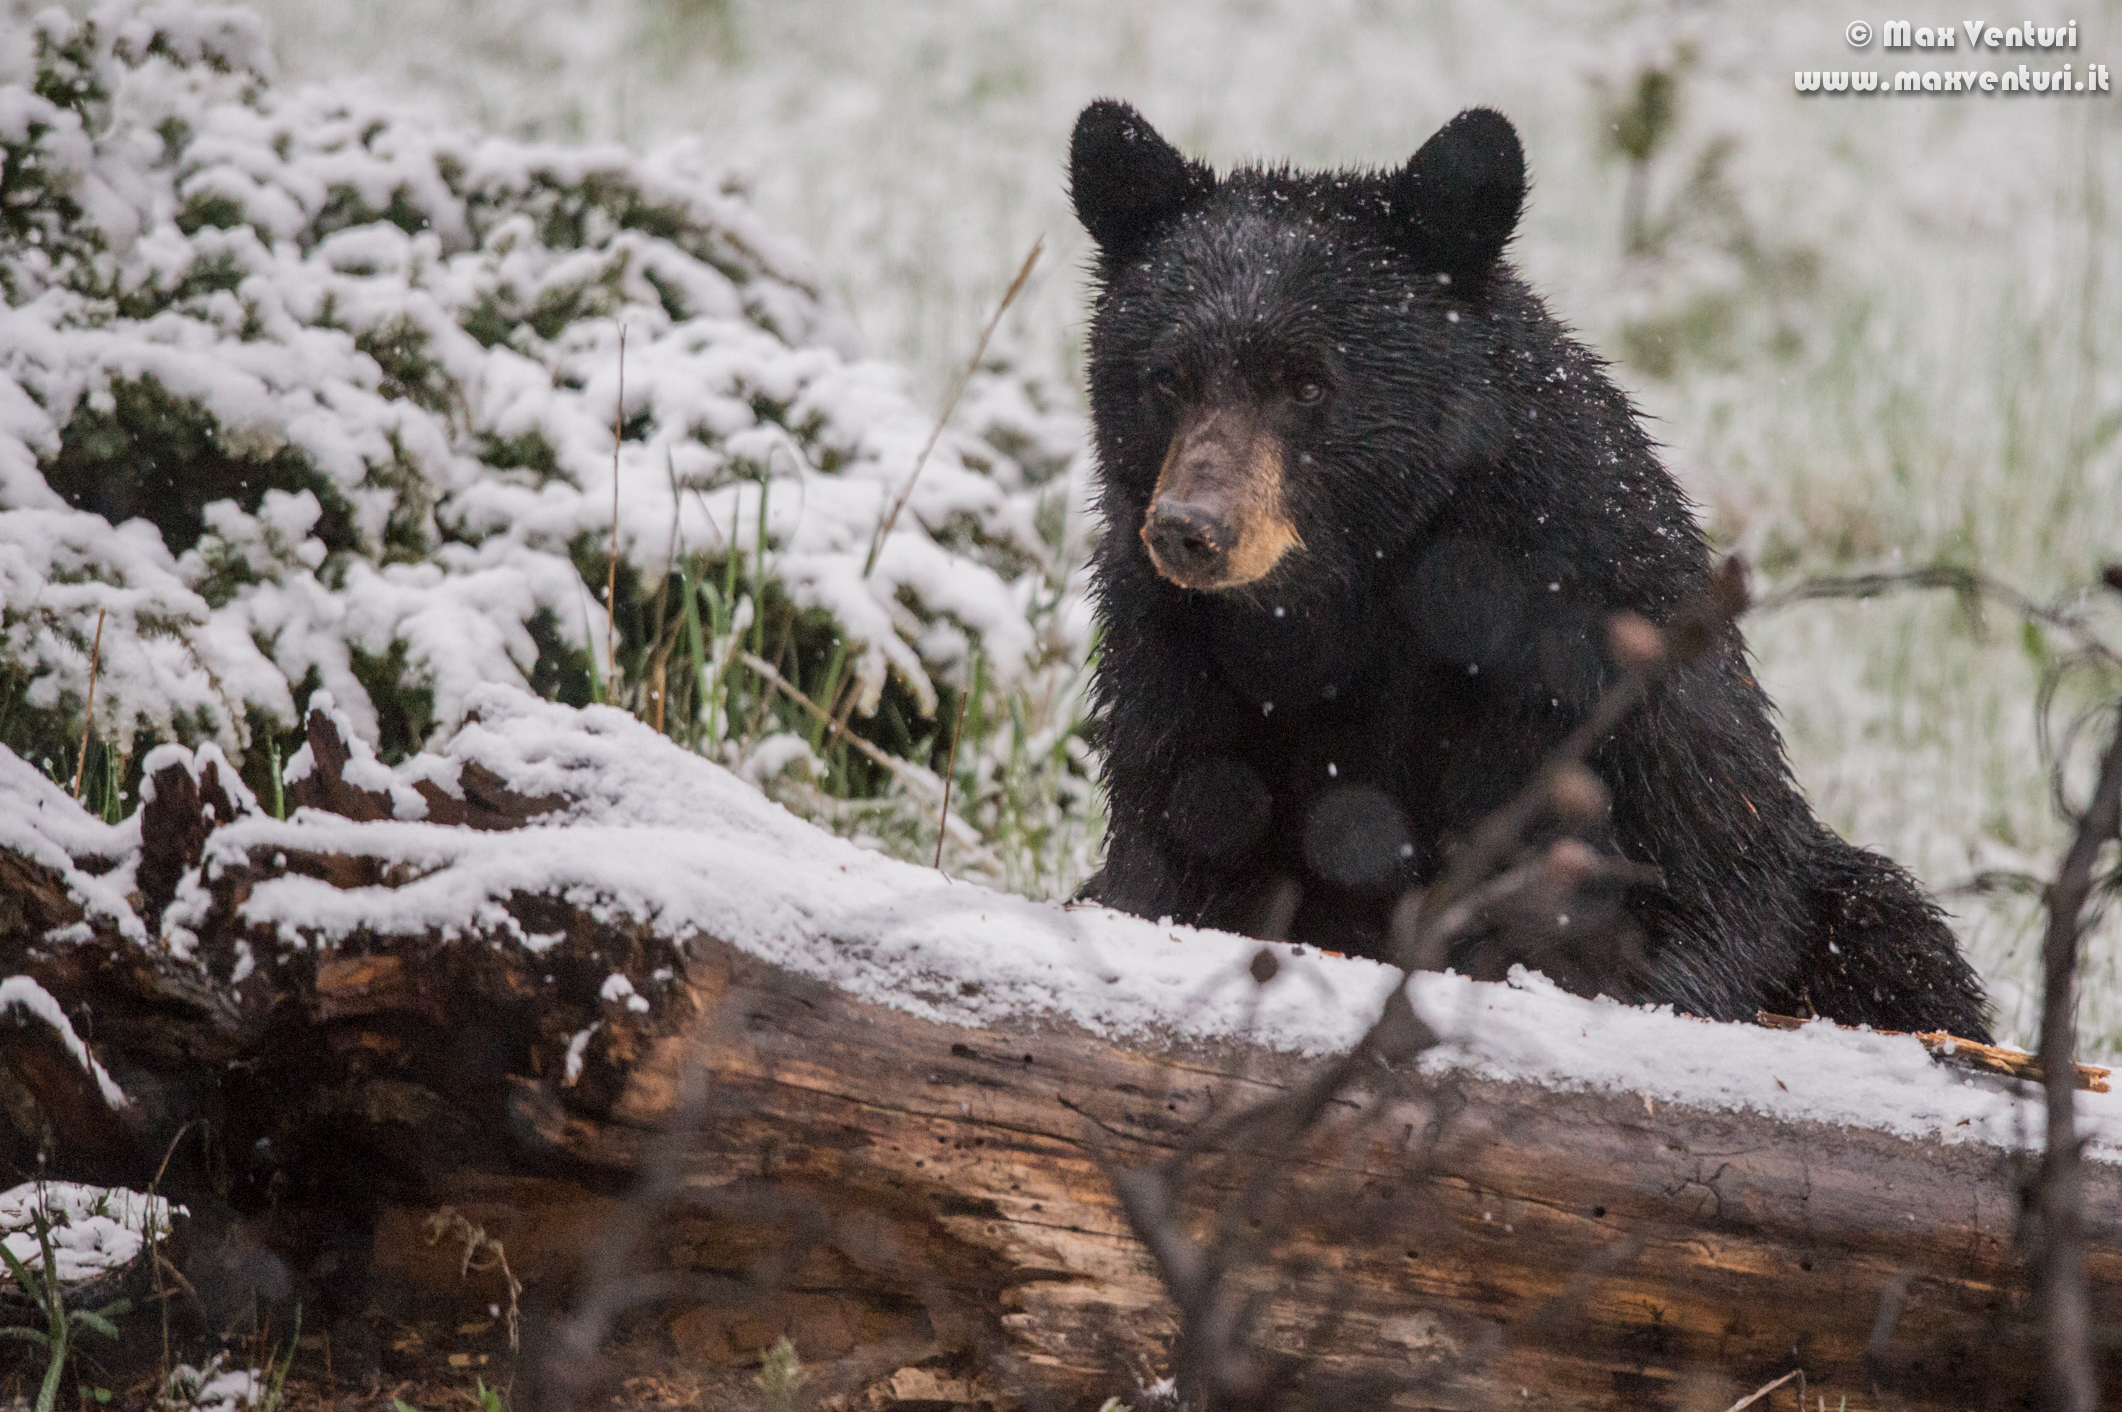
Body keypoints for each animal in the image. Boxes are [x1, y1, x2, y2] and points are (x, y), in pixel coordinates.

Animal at [1067, 98, 1992, 1041]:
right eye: (1167, 377)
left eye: (1307, 383)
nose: (1191, 530)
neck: (1355, 595)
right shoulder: (1176, 667)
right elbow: (1182, 841)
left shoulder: (1580, 660)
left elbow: (1666, 897)